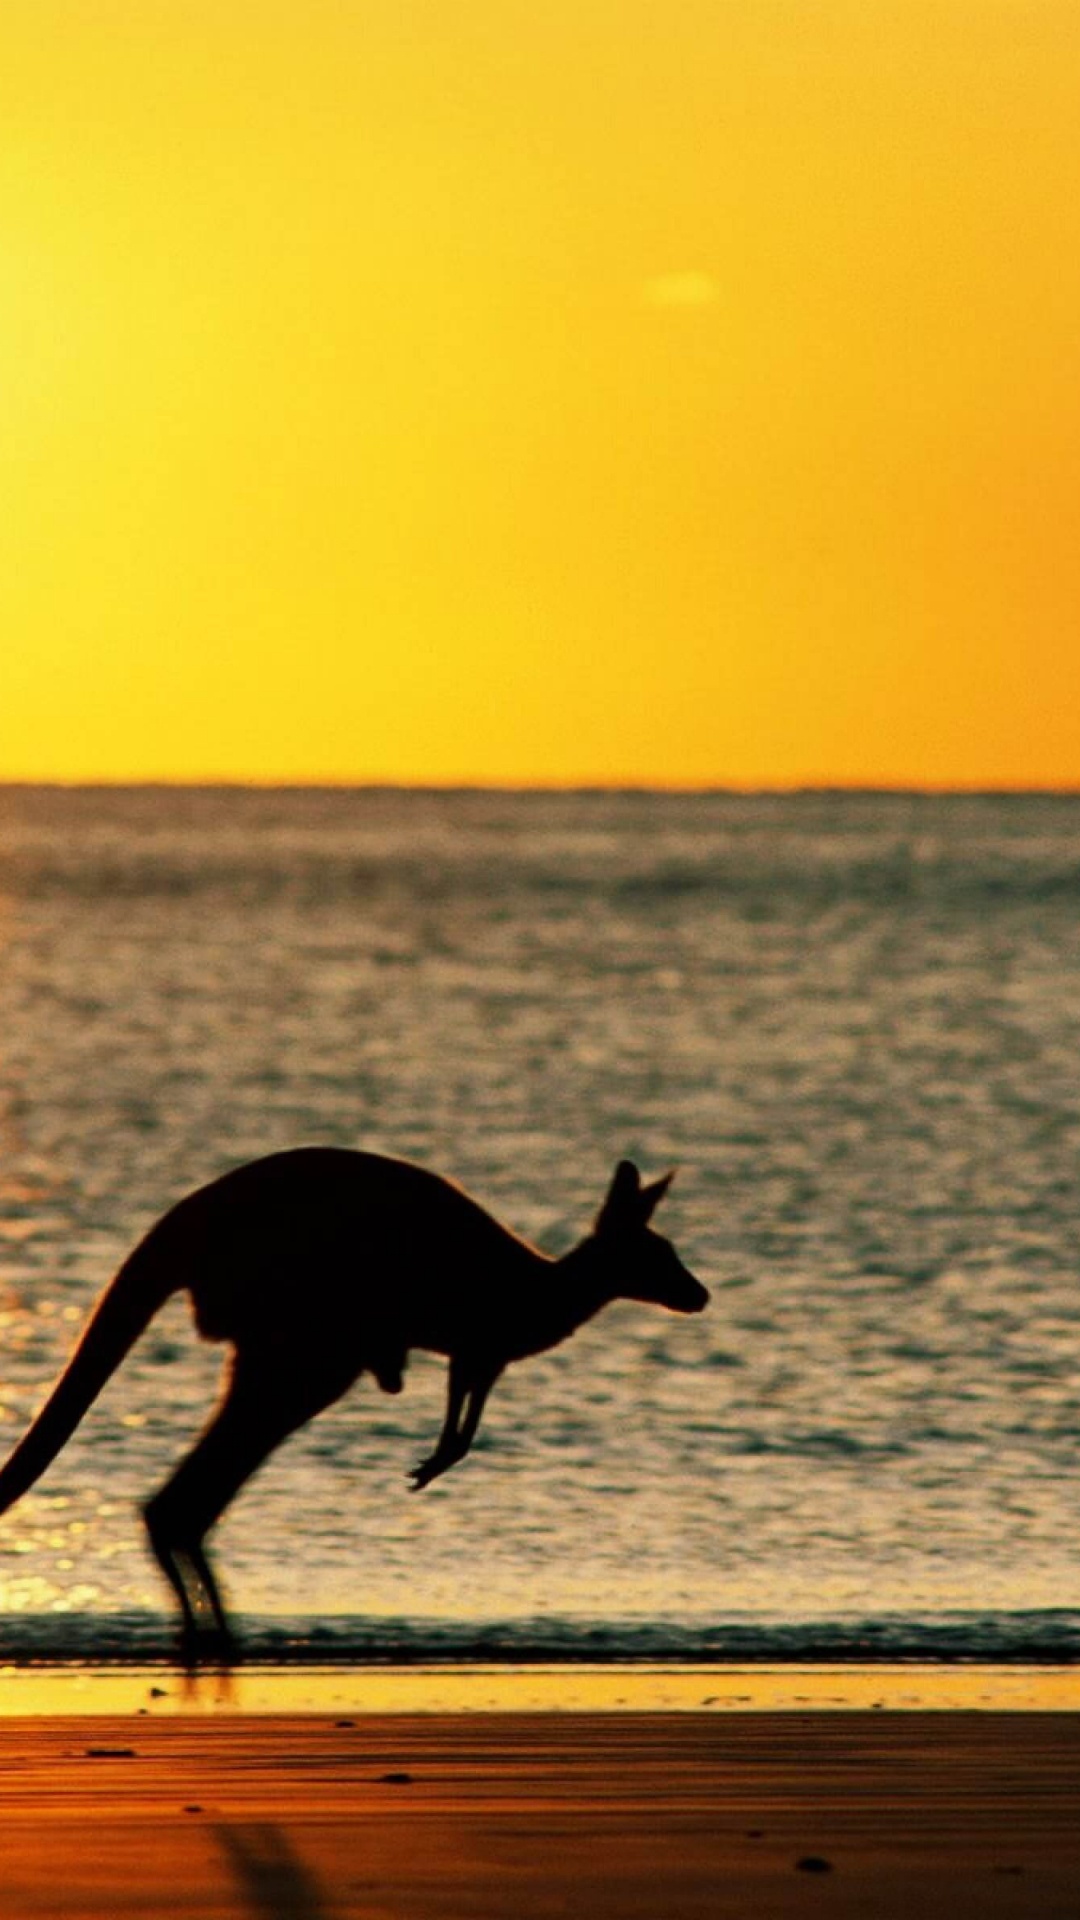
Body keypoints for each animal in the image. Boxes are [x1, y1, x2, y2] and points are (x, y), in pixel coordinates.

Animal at [0, 1149, 707, 1665]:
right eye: (660, 1257)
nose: (700, 1296)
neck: (541, 1288)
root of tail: (186, 1221)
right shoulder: (478, 1341)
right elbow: (464, 1405)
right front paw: (434, 1460)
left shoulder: (481, 1352)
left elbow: (466, 1402)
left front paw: (435, 1458)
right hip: (308, 1332)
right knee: (189, 1496)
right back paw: (215, 1643)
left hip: (290, 1344)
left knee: (184, 1502)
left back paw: (211, 1640)